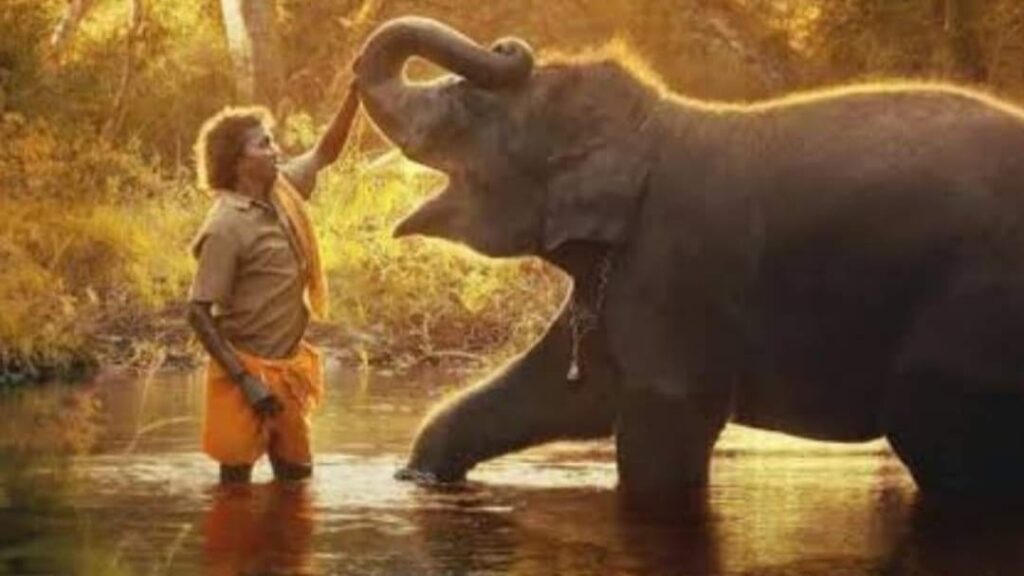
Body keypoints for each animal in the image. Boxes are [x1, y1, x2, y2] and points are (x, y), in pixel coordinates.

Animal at [353, 16, 1024, 501]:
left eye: (473, 111)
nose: (508, 44)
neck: (652, 123)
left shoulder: (673, 266)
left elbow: (663, 422)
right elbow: (567, 392)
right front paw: (419, 479)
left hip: (973, 303)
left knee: (937, 433)